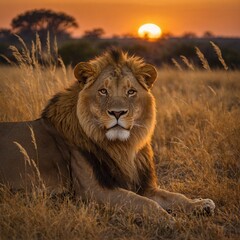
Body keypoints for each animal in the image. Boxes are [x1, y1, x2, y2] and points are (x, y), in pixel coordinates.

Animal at [0, 48, 214, 225]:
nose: (117, 113)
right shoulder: (93, 190)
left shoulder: (142, 185)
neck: (122, 148)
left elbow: (175, 196)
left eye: (131, 91)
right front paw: (171, 220)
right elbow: (145, 203)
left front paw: (200, 204)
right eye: (103, 91)